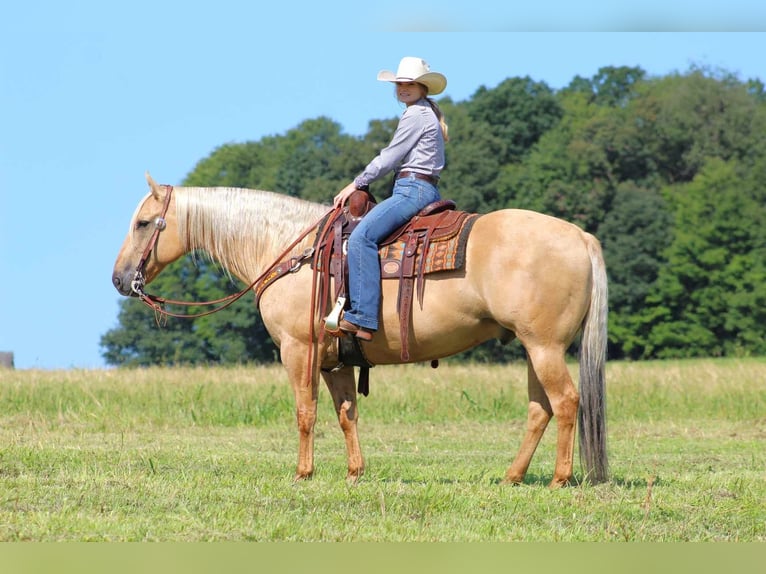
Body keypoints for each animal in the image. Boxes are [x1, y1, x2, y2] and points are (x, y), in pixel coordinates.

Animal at [111, 173, 608, 488]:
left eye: (143, 223)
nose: (119, 279)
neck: (292, 252)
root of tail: (581, 237)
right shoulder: (337, 361)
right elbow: (346, 413)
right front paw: (354, 473)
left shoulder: (299, 350)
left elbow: (305, 412)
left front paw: (303, 473)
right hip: (533, 348)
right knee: (540, 409)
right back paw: (512, 476)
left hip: (544, 346)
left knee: (566, 402)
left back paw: (560, 479)